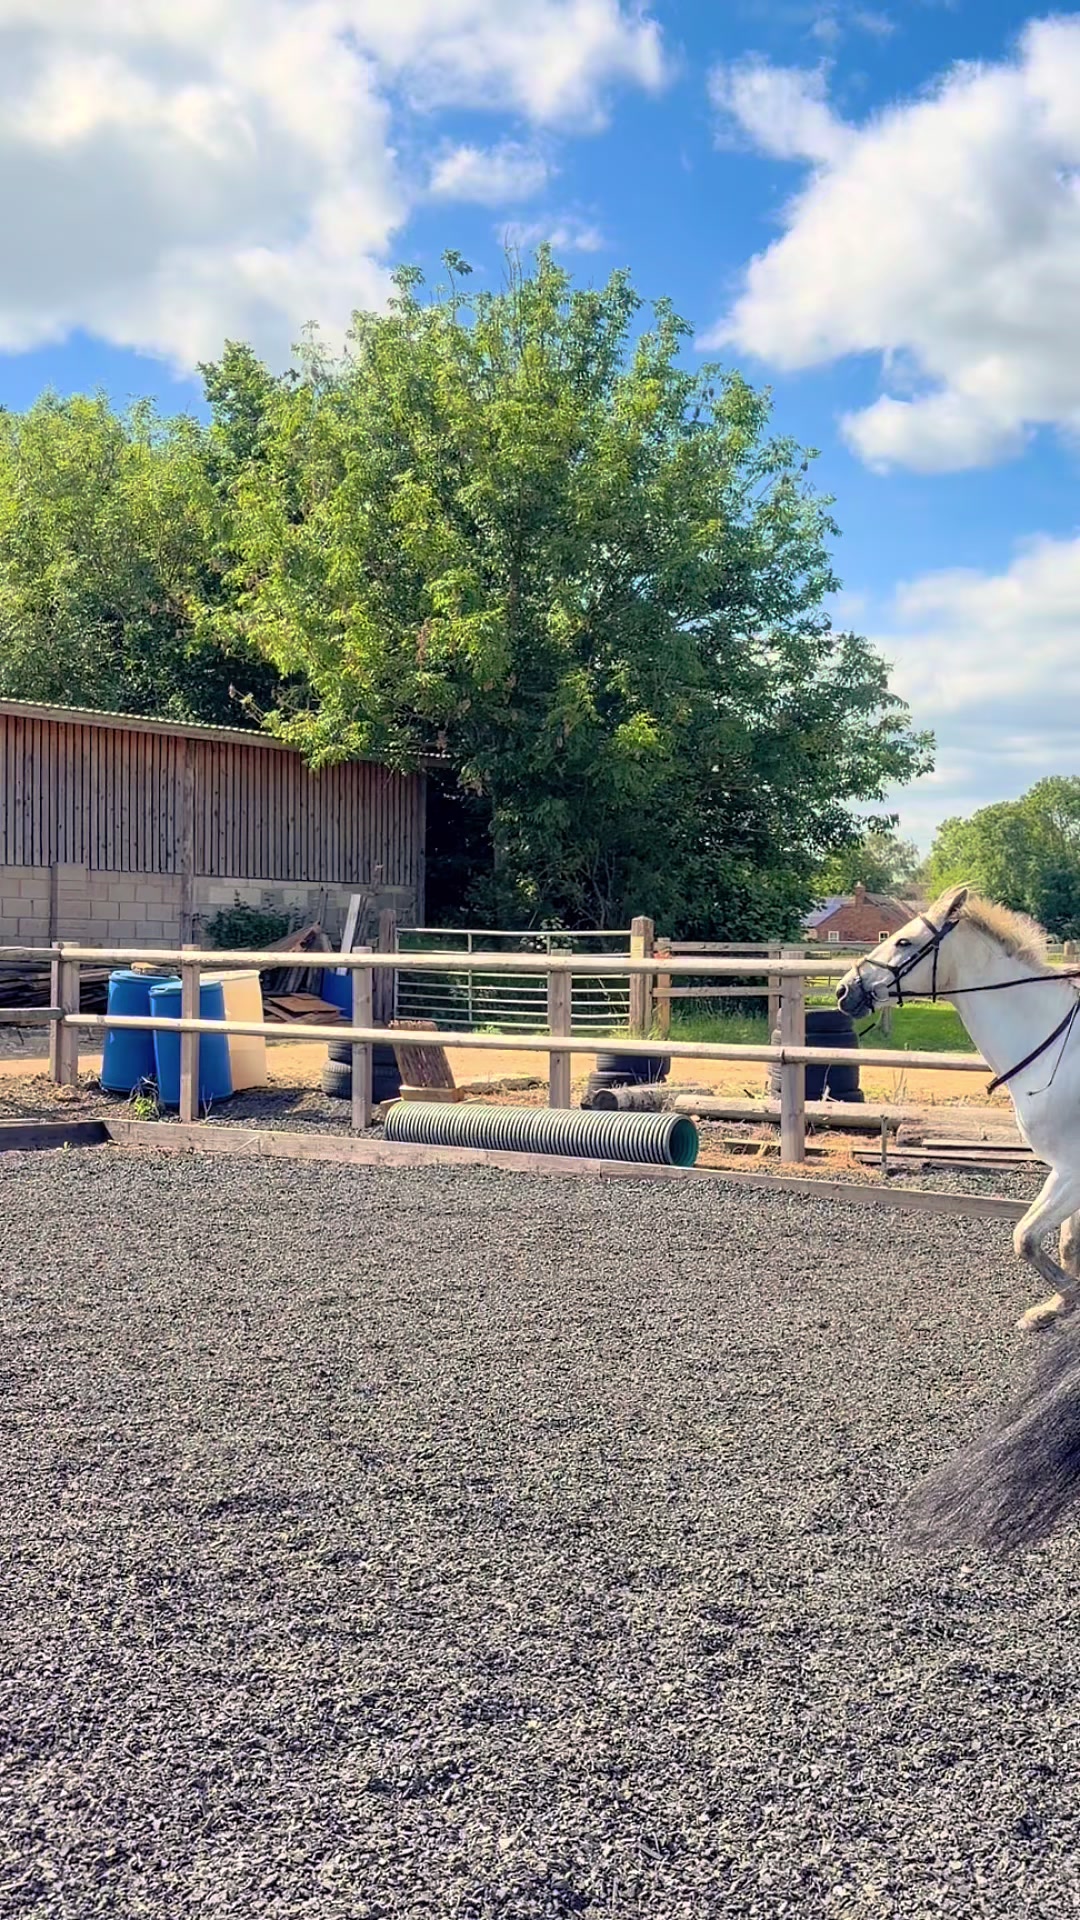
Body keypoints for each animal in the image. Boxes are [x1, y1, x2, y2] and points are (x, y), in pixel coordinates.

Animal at [839, 887, 1080, 1551]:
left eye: (902, 941)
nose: (843, 991)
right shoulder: (1068, 1173)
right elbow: (1051, 1244)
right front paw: (1054, 1310)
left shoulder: (1073, 1169)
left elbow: (1028, 1240)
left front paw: (1066, 1306)